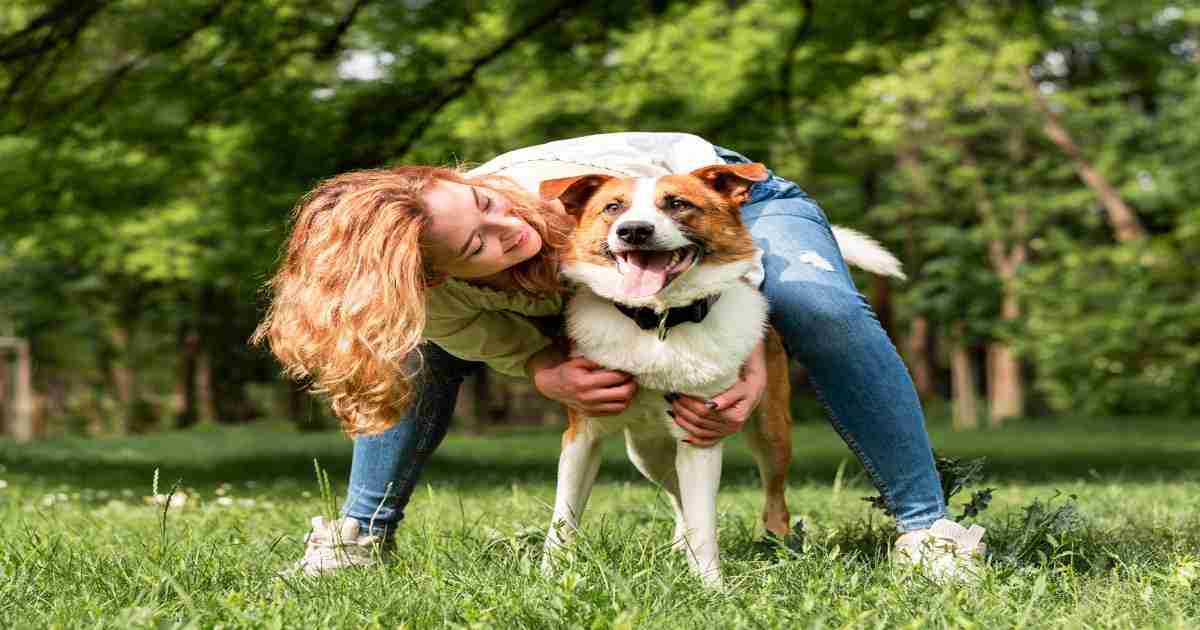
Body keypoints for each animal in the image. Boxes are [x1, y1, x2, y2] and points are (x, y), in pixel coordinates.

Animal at [540, 162, 902, 585]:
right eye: (613, 207)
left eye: (677, 204)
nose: (633, 231)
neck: (659, 322)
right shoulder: (582, 436)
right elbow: (563, 519)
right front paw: (549, 577)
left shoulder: (700, 437)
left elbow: (704, 523)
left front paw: (711, 587)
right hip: (647, 452)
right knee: (678, 497)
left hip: (771, 432)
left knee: (773, 502)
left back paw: (778, 550)